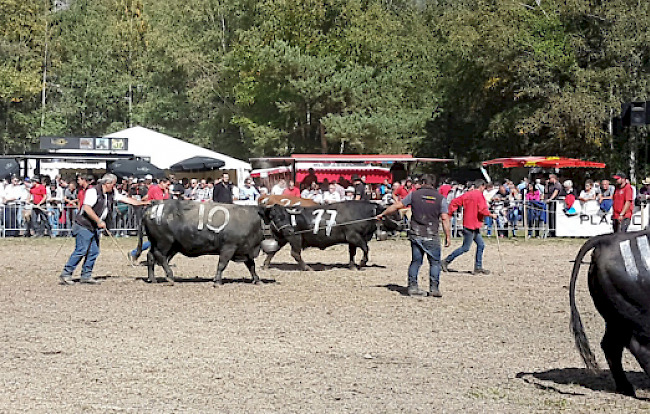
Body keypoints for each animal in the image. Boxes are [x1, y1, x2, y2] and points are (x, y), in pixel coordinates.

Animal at [134, 200, 266, 284]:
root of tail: (150, 210)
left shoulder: (246, 250)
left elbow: (251, 266)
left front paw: (257, 279)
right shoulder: (229, 247)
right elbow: (222, 264)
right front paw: (217, 281)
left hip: (162, 244)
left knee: (151, 256)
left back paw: (152, 279)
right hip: (164, 243)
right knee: (160, 256)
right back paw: (170, 276)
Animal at [260, 201, 402, 272]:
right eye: (392, 214)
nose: (401, 224)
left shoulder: (351, 240)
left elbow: (352, 253)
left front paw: (352, 266)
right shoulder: (355, 237)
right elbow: (366, 249)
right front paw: (361, 264)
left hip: (283, 237)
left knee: (272, 251)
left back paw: (266, 265)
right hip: (295, 238)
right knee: (295, 254)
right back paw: (307, 267)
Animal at [568, 231, 650, 396]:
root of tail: (606, 239)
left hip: (615, 318)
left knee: (611, 345)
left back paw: (625, 387)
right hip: (638, 316)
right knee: (640, 347)